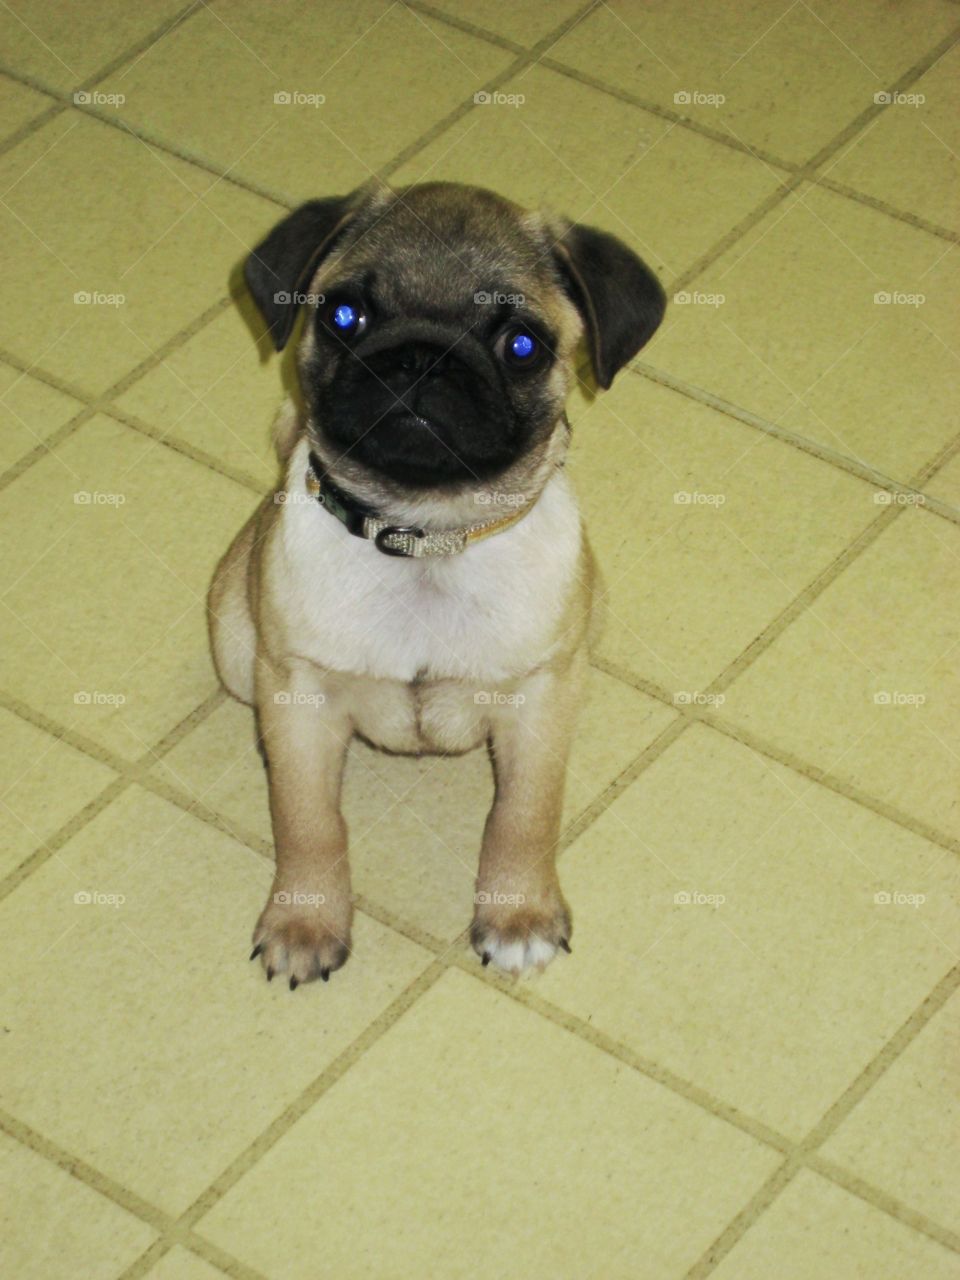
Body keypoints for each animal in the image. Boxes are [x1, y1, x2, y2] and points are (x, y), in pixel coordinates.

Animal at [207, 180, 665, 983]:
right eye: (344, 315)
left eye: (522, 345)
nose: (421, 359)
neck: (426, 539)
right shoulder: (297, 702)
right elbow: (308, 822)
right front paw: (305, 920)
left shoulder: (539, 704)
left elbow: (523, 817)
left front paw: (518, 913)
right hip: (236, 649)